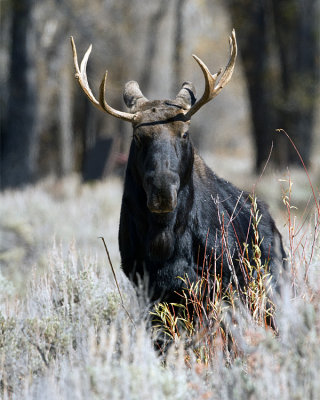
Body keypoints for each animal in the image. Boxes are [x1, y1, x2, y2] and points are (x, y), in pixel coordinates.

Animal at [70, 31, 284, 304]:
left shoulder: (222, 282)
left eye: (185, 133)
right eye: (137, 137)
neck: (164, 242)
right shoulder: (144, 286)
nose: (162, 191)